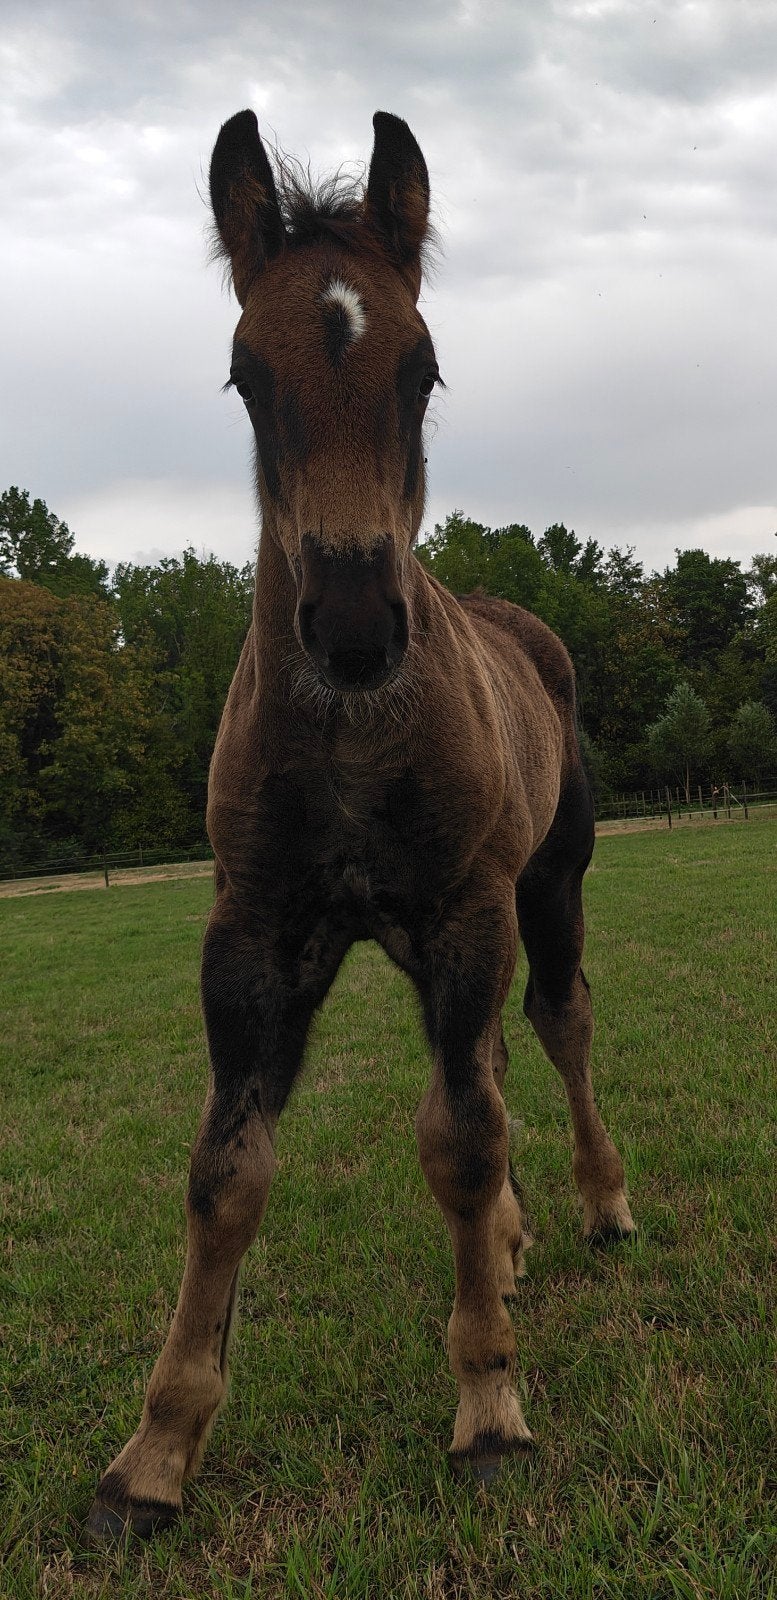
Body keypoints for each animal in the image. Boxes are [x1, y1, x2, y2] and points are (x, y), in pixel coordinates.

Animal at [86, 108, 635, 1543]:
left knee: (551, 1028)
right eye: (243, 375)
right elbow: (225, 1170)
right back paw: (512, 1243)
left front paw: (490, 1406)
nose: (349, 627)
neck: (345, 739)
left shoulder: (464, 911)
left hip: (544, 888)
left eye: (424, 368)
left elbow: (460, 1138)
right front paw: (154, 1451)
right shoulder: (257, 932)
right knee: (485, 1061)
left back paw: (598, 1206)